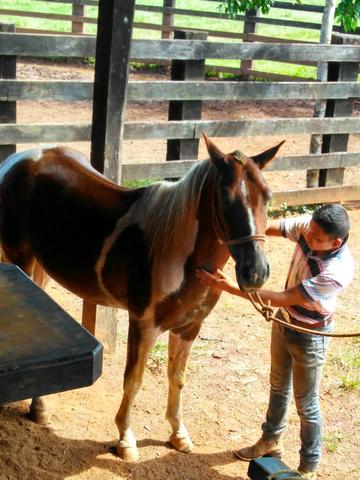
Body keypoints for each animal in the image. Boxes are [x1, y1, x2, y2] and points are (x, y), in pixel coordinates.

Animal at [0, 134, 282, 462]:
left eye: (268, 196)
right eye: (225, 198)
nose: (255, 272)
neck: (178, 254)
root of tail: (19, 160)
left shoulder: (189, 327)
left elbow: (177, 377)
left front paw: (179, 435)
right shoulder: (144, 324)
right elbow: (133, 380)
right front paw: (125, 440)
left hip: (40, 269)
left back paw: (40, 408)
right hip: (20, 259)